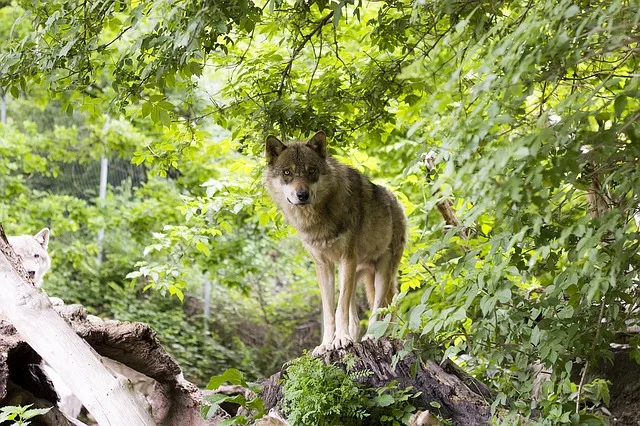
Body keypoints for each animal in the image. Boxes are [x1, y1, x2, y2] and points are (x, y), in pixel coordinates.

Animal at [265, 131, 406, 355]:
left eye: (311, 171)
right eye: (287, 172)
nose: (302, 195)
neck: (318, 218)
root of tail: (397, 202)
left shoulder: (346, 259)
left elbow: (339, 309)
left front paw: (340, 340)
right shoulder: (324, 266)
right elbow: (329, 311)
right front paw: (326, 344)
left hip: (381, 272)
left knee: (382, 306)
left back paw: (373, 336)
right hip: (357, 274)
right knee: (356, 317)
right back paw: (356, 337)